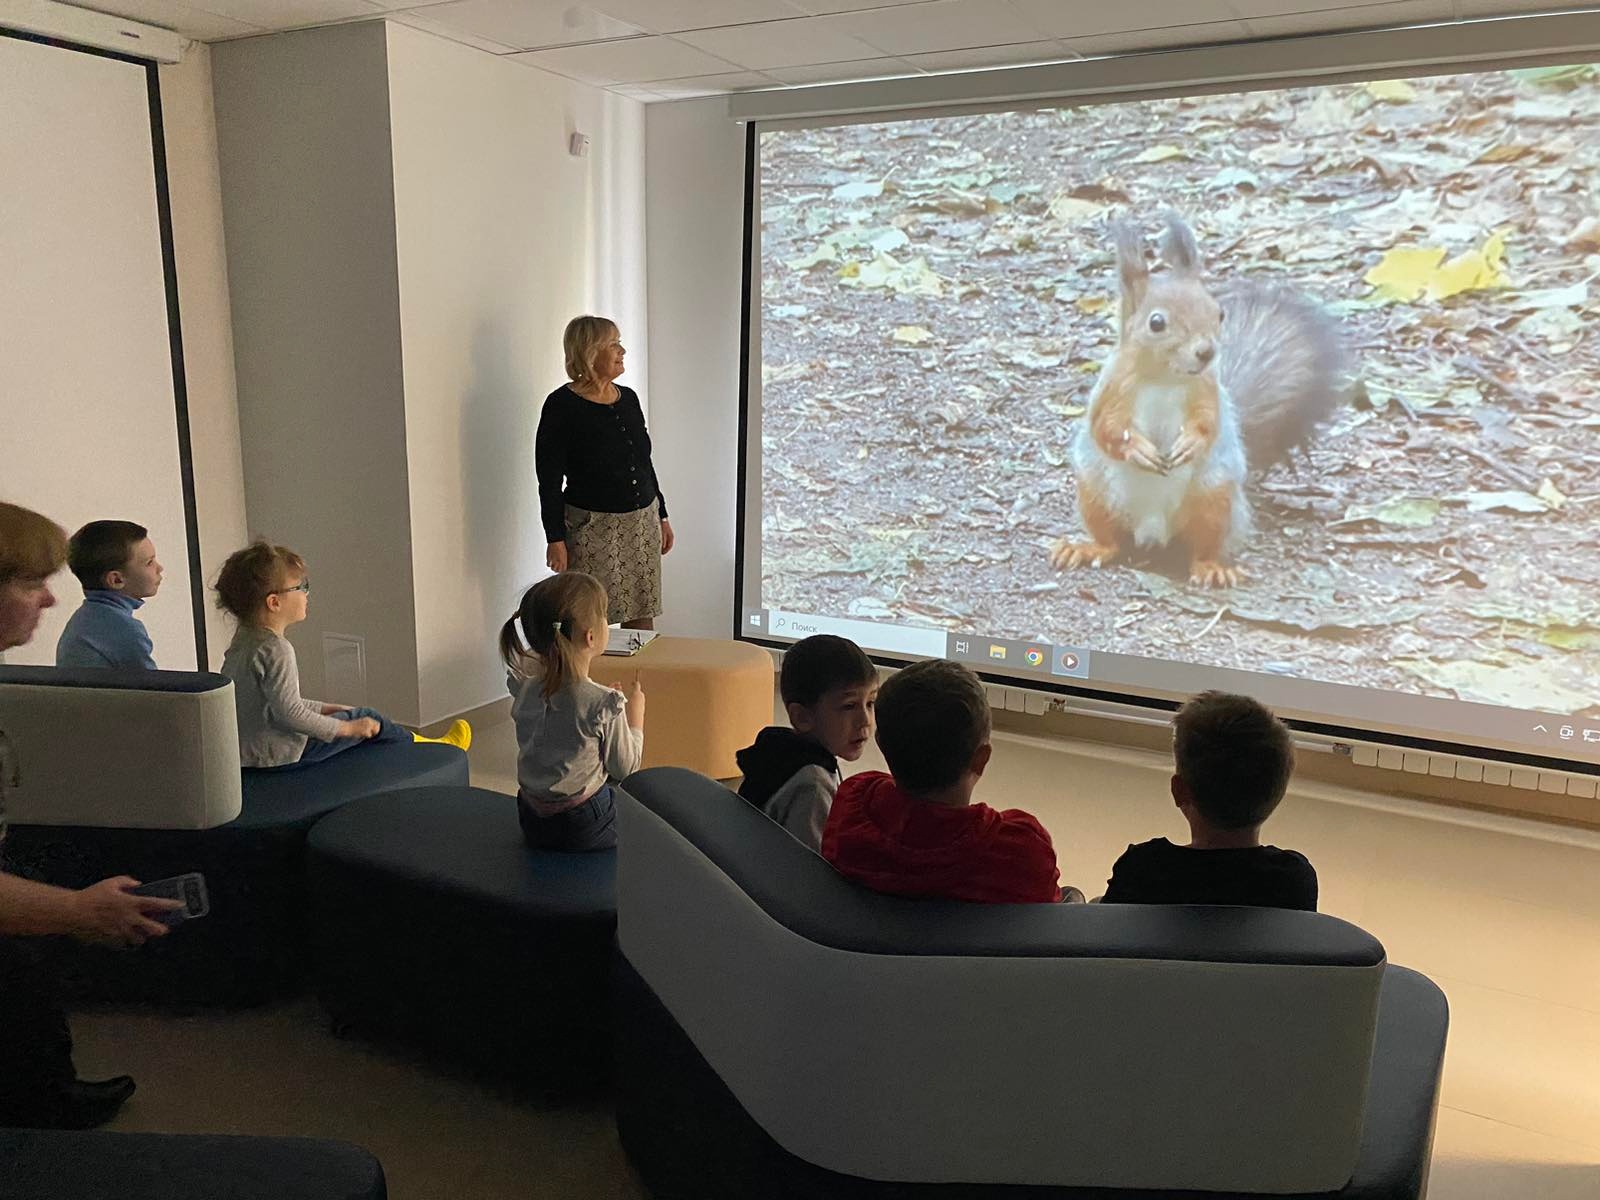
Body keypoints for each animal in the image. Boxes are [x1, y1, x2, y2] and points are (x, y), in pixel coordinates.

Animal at [1049, 219, 1350, 595]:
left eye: (1218, 313)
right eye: (1156, 323)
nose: (1207, 352)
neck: (1166, 376)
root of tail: (1152, 534)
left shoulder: (1207, 391)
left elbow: (1209, 425)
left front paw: (1189, 444)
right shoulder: (1112, 391)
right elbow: (1106, 428)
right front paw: (1138, 450)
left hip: (1213, 501)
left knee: (1203, 548)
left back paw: (1212, 569)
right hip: (1094, 495)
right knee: (1111, 542)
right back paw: (1087, 548)